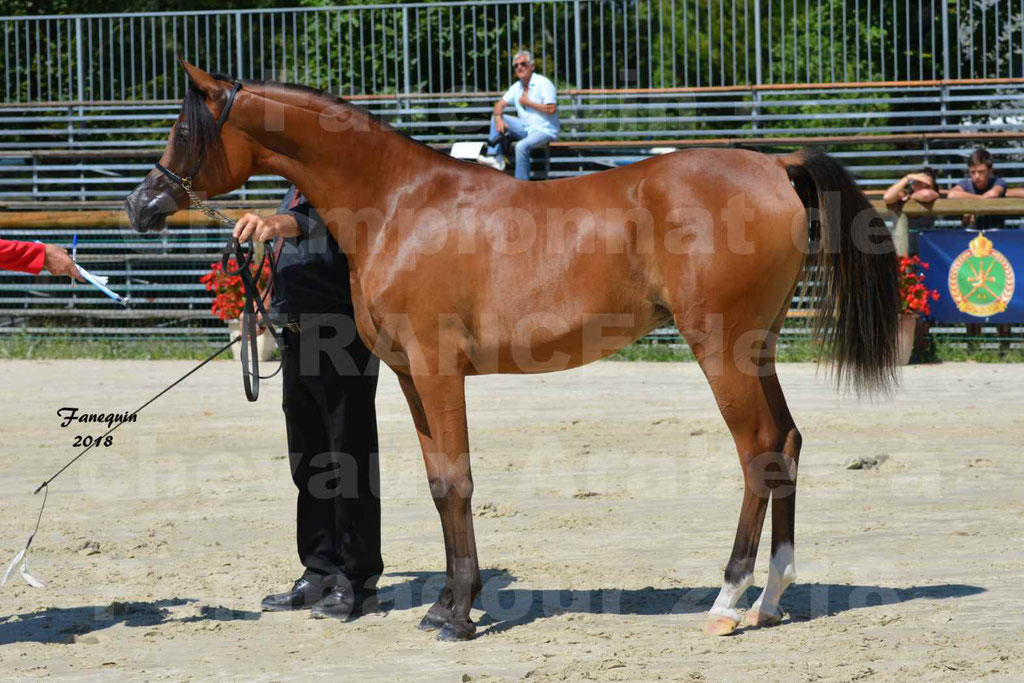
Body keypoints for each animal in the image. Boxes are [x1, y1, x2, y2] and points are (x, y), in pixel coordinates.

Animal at [125, 60, 897, 643]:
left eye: (183, 130)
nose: (141, 204)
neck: (400, 203)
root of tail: (774, 167)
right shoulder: (410, 377)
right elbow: (439, 483)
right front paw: (445, 603)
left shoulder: (439, 369)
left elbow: (457, 482)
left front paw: (458, 615)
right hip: (757, 348)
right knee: (788, 442)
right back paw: (770, 599)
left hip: (722, 349)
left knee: (758, 450)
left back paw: (727, 601)